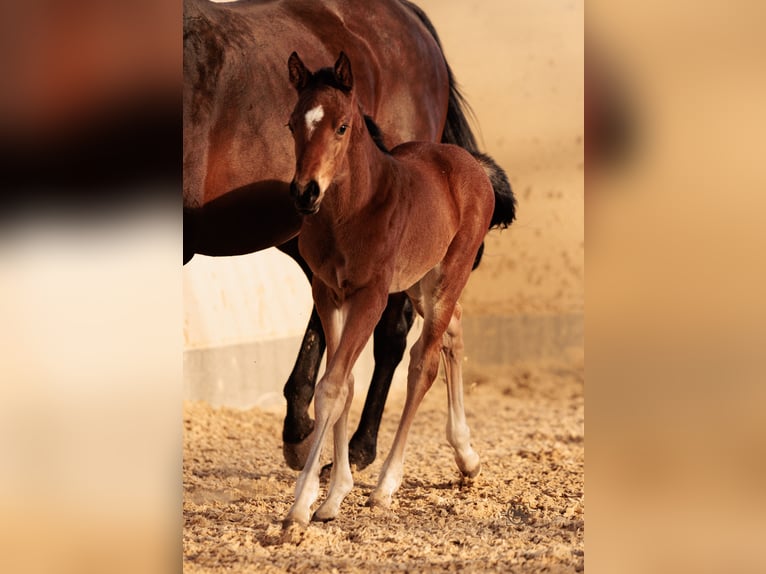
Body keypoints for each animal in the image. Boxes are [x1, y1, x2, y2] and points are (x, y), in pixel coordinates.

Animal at [183, 0, 489, 472]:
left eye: (342, 127)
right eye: (289, 125)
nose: (304, 190)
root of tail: (411, 17)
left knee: (392, 333)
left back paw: (359, 447)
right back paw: (304, 429)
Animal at [282, 52, 516, 528]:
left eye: (342, 127)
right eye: (293, 124)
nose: (305, 192)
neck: (352, 212)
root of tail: (470, 163)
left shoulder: (370, 296)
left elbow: (333, 387)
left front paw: (302, 504)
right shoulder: (329, 294)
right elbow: (344, 384)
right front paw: (333, 497)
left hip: (447, 274)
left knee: (423, 363)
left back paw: (387, 483)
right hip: (419, 284)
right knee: (453, 328)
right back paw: (466, 455)